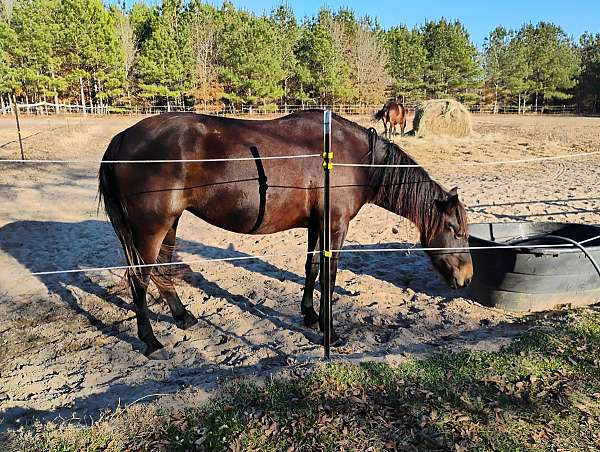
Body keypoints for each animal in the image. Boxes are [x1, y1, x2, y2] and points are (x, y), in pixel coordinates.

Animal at [98, 110, 474, 356]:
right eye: (454, 230)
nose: (468, 277)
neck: (351, 157)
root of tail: (122, 139)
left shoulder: (317, 225)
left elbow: (311, 269)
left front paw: (309, 316)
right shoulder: (335, 226)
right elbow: (329, 277)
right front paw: (330, 332)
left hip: (170, 224)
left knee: (162, 271)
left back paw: (182, 317)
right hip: (151, 229)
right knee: (140, 279)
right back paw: (151, 342)